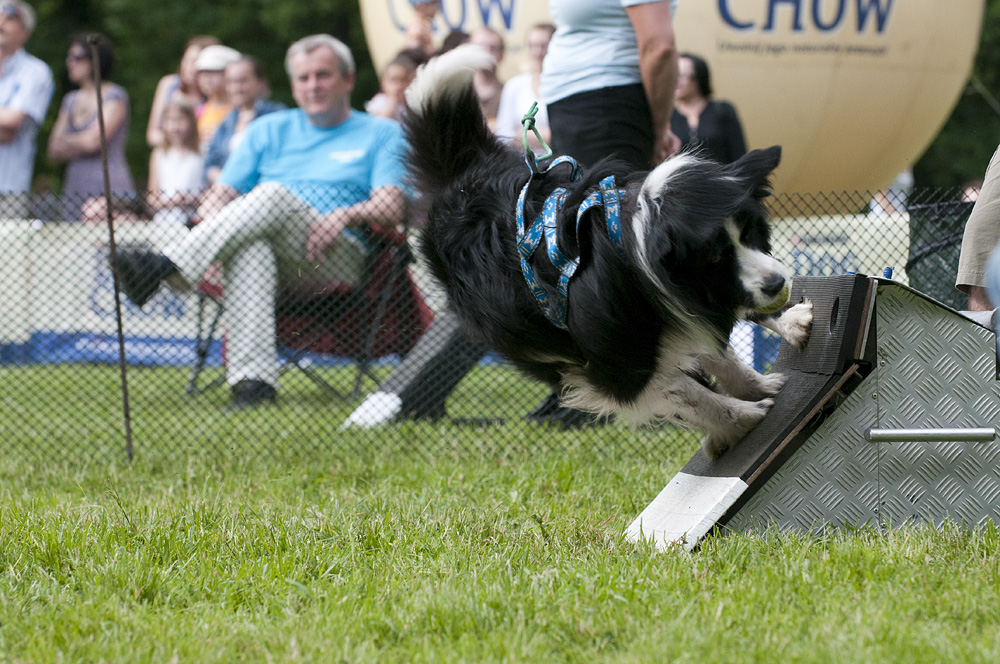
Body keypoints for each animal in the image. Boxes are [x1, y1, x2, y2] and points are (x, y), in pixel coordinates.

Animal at [404, 46, 812, 458]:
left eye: (751, 232)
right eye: (714, 255)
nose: (777, 284)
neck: (629, 247)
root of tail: (468, 174)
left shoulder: (671, 304)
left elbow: (713, 347)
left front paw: (757, 382)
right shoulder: (618, 358)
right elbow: (683, 391)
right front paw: (740, 419)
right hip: (523, 334)